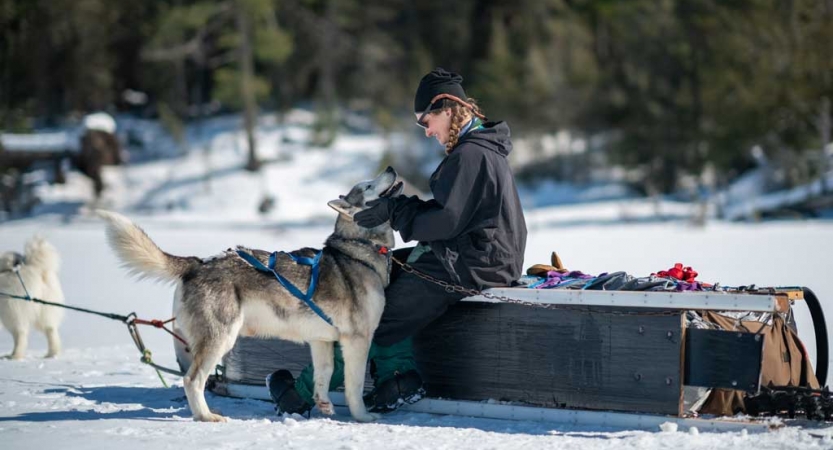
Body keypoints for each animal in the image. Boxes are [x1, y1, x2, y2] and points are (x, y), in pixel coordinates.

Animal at [99, 166, 404, 422]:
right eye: (367, 186)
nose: (390, 168)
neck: (359, 250)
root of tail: (198, 262)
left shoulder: (321, 341)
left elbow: (324, 375)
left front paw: (324, 405)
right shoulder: (358, 340)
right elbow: (354, 386)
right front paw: (363, 417)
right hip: (220, 338)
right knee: (192, 380)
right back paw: (206, 416)